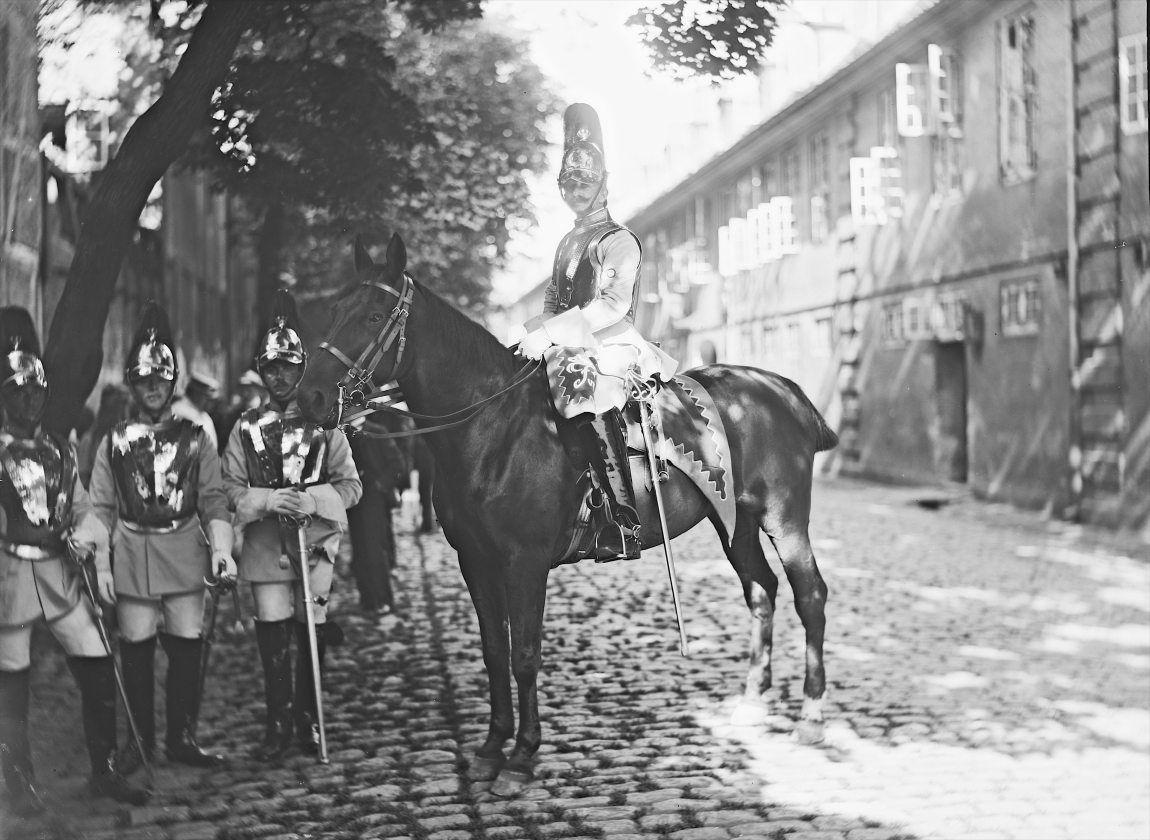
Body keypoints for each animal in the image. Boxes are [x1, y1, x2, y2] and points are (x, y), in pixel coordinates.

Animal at [296, 233, 837, 791]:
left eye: (374, 314)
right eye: (334, 310)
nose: (308, 397)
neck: (493, 427)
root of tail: (779, 388)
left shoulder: (526, 564)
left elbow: (525, 655)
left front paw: (521, 755)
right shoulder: (476, 563)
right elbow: (494, 652)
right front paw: (492, 747)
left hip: (783, 518)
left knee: (810, 595)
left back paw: (811, 716)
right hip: (734, 522)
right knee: (762, 593)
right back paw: (753, 700)